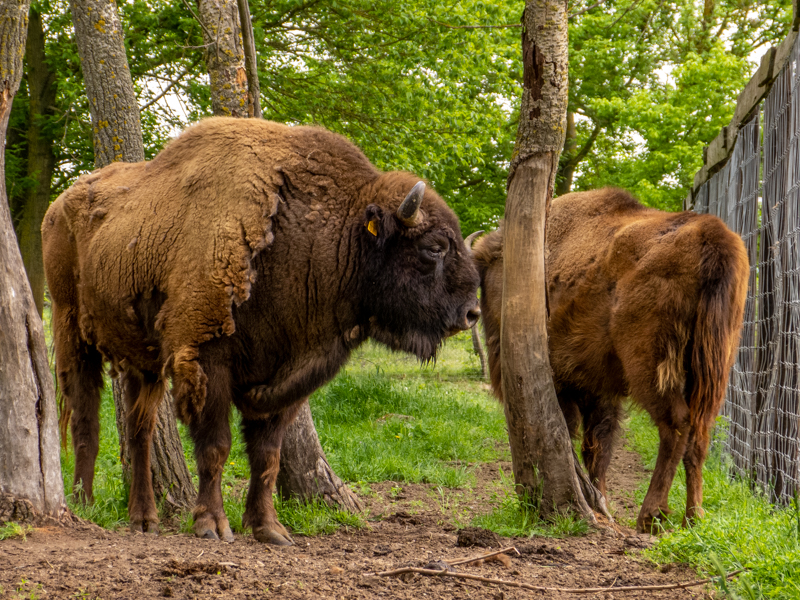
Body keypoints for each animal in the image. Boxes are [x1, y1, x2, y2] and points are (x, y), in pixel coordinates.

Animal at [43, 117, 480, 545]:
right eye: (434, 247)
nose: (472, 312)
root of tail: (58, 206)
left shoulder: (282, 378)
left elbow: (267, 455)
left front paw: (270, 529)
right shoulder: (207, 360)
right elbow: (216, 446)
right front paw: (212, 525)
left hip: (141, 359)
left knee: (139, 433)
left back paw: (144, 518)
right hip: (71, 329)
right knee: (85, 416)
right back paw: (84, 502)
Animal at [472, 188, 748, 532]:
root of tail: (711, 234)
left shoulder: (570, 385)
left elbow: (571, 435)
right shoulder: (600, 390)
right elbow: (597, 446)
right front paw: (602, 504)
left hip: (650, 368)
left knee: (675, 426)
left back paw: (651, 516)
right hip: (714, 367)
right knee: (699, 433)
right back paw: (693, 517)